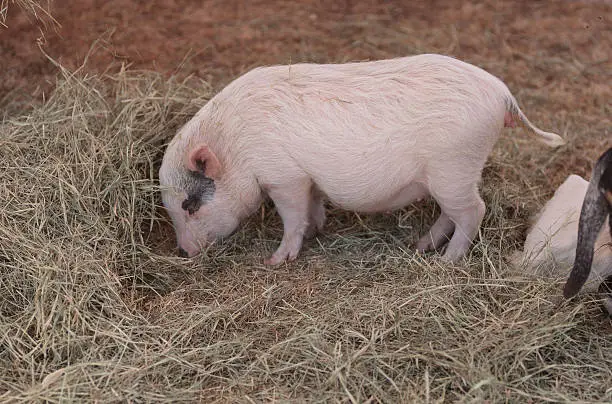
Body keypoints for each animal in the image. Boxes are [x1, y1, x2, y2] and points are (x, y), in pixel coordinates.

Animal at [158, 52, 564, 266]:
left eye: (190, 205)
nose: (182, 251)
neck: (236, 146)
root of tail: (501, 93)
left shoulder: (285, 176)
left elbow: (292, 216)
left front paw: (276, 262)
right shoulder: (309, 179)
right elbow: (313, 205)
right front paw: (317, 229)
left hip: (454, 166)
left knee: (473, 211)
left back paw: (446, 261)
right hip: (452, 174)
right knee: (454, 212)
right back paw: (421, 246)